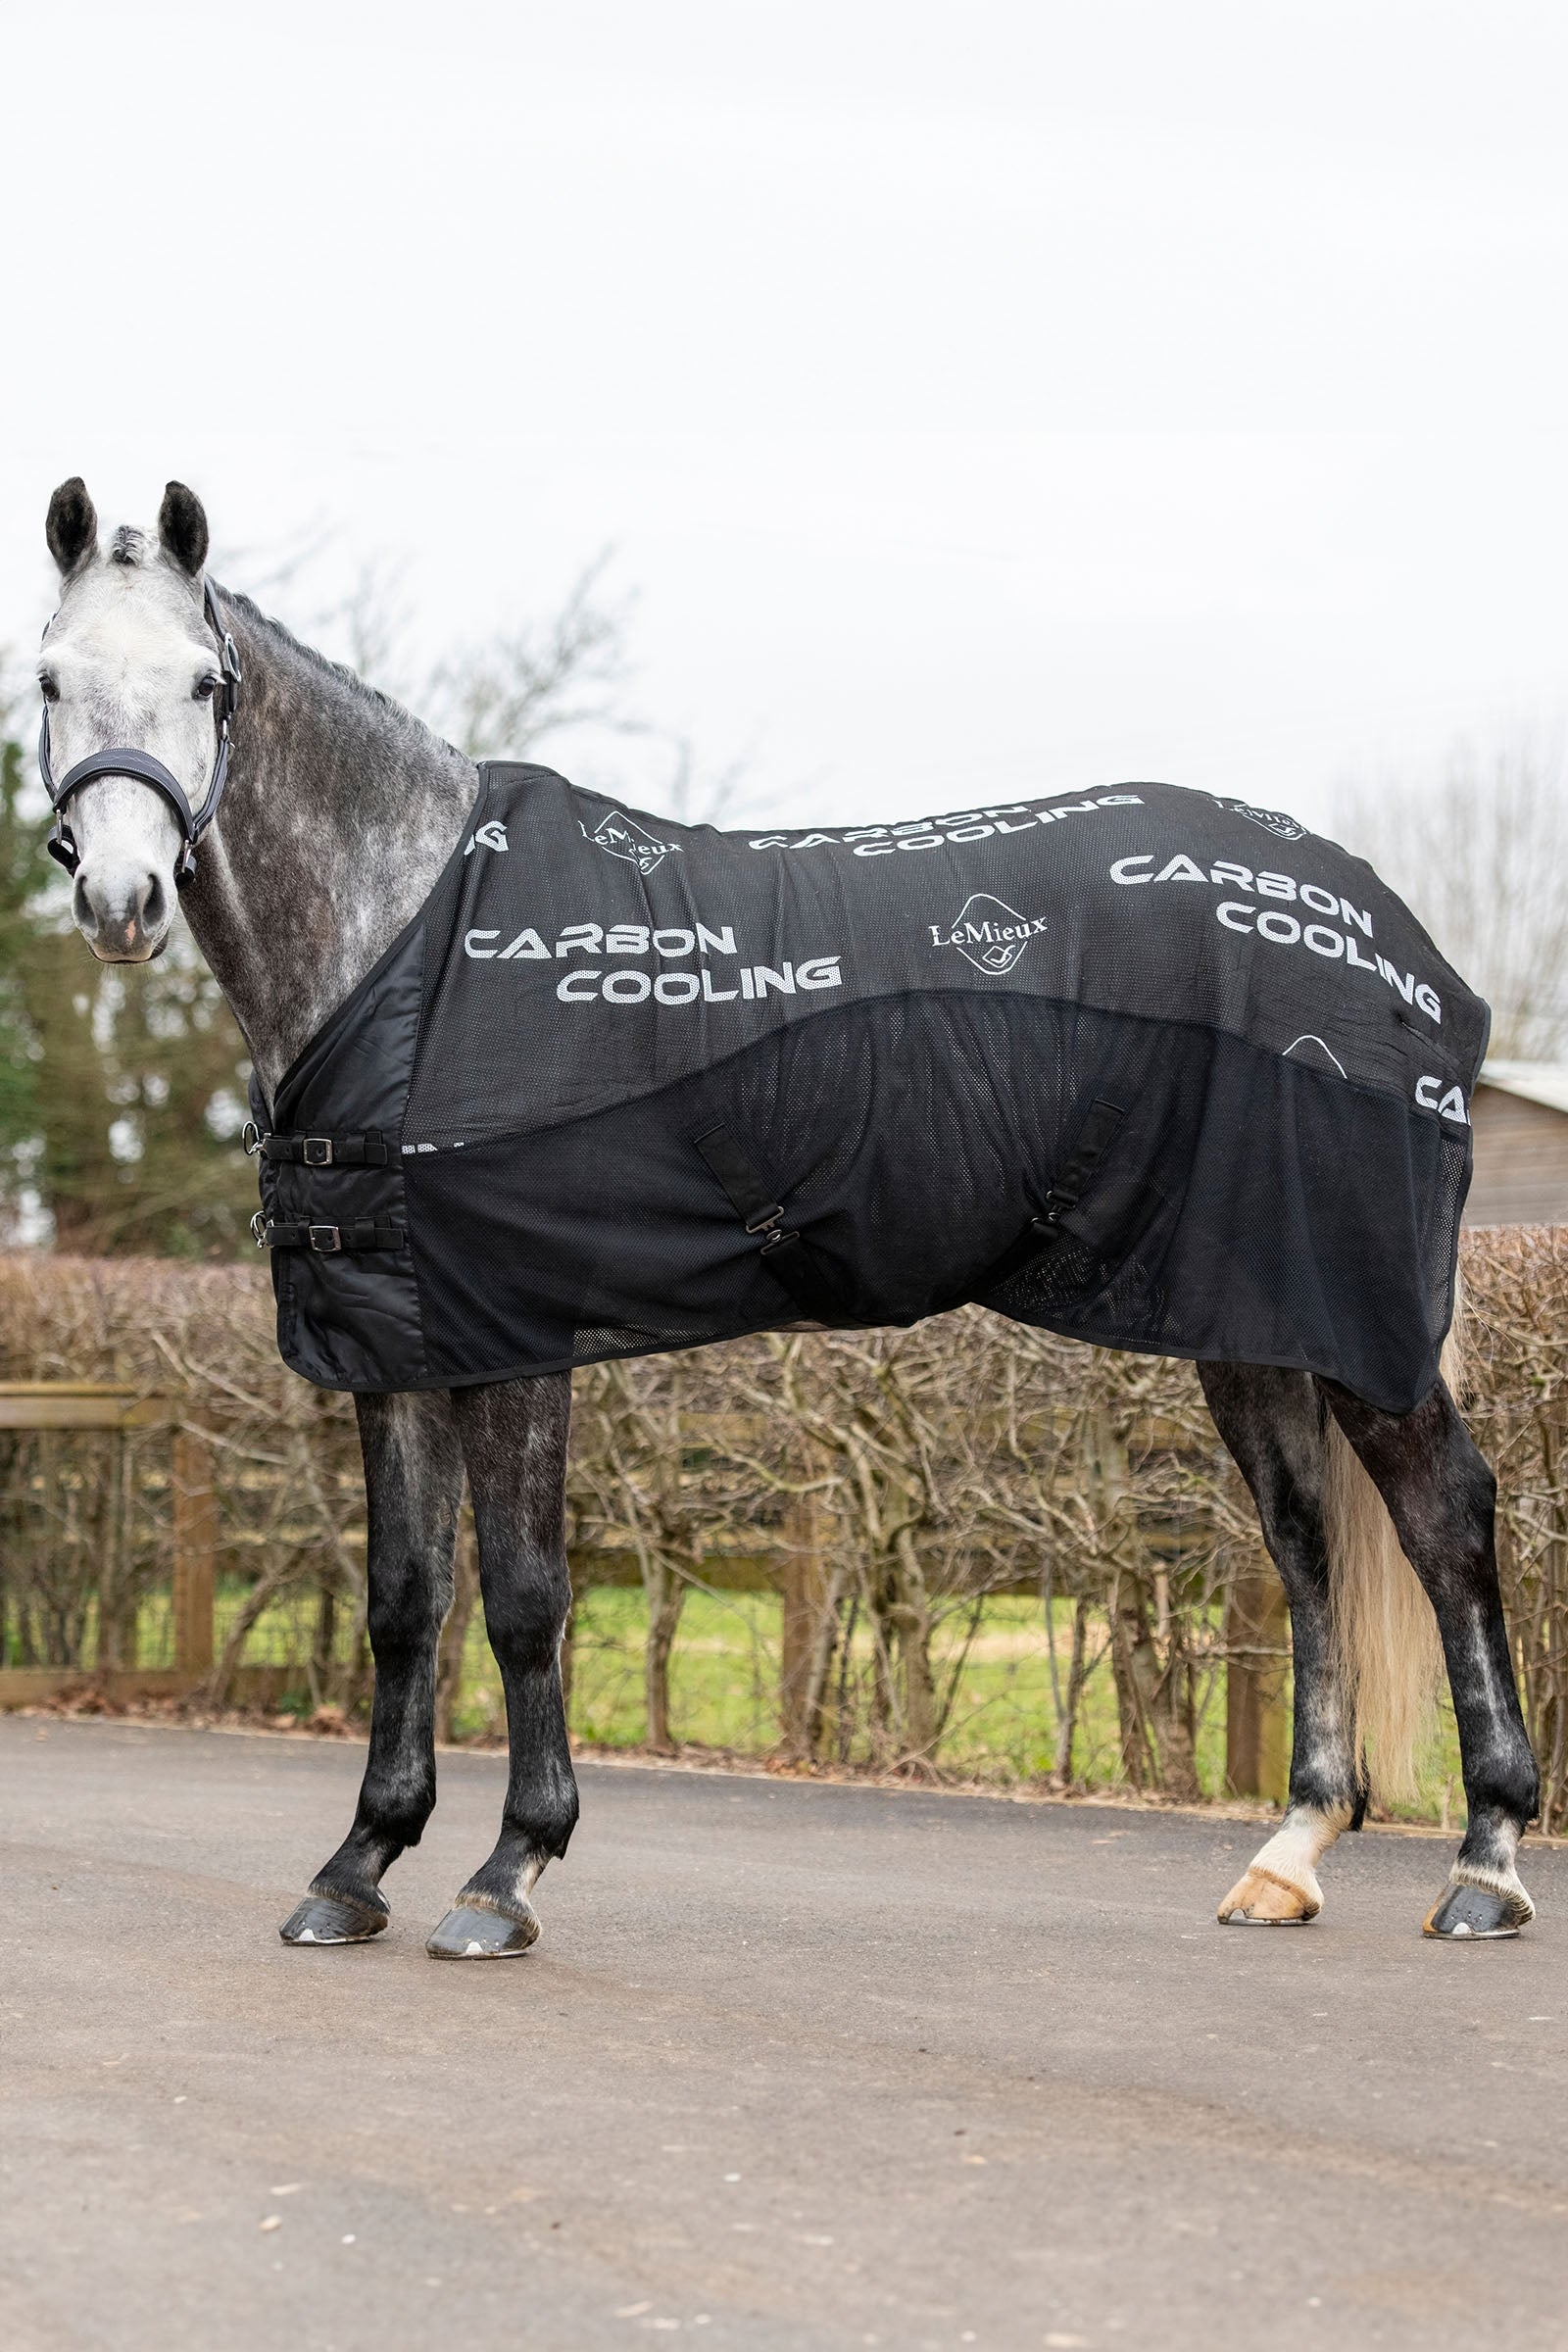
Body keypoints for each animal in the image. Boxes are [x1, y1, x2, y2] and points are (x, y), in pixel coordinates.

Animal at [30, 475, 1540, 1955]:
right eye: (48, 678)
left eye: (205, 682)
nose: (121, 899)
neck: (414, 946)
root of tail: (1392, 947)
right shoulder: (394, 1344)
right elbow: (405, 1602)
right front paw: (356, 1867)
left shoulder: (513, 1339)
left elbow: (522, 1598)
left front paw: (508, 1871)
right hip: (1248, 1315)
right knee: (1307, 1542)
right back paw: (1291, 1855)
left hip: (1359, 1313)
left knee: (1445, 1518)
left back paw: (1485, 1864)